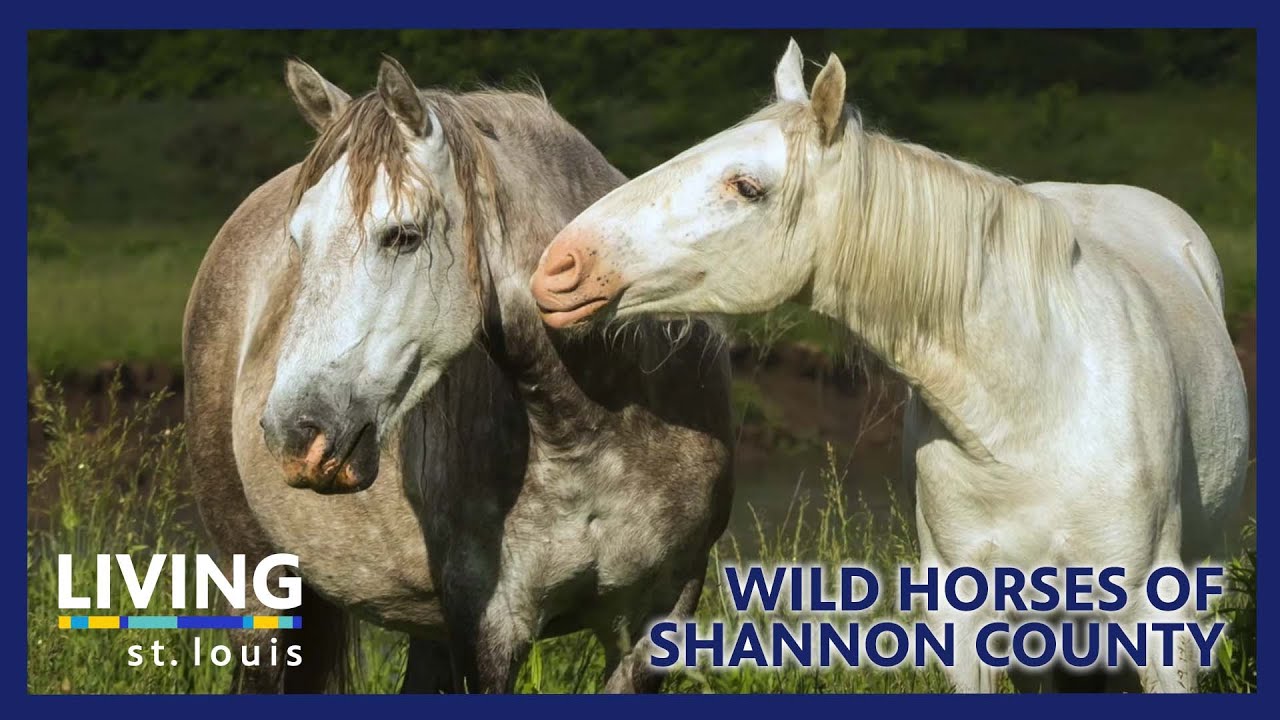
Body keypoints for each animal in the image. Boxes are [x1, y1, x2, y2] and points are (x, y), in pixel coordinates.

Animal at [183, 56, 734, 694]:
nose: (295, 433)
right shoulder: (489, 628)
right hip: (259, 591)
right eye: (297, 240)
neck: (603, 422)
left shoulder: (660, 618)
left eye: (403, 235)